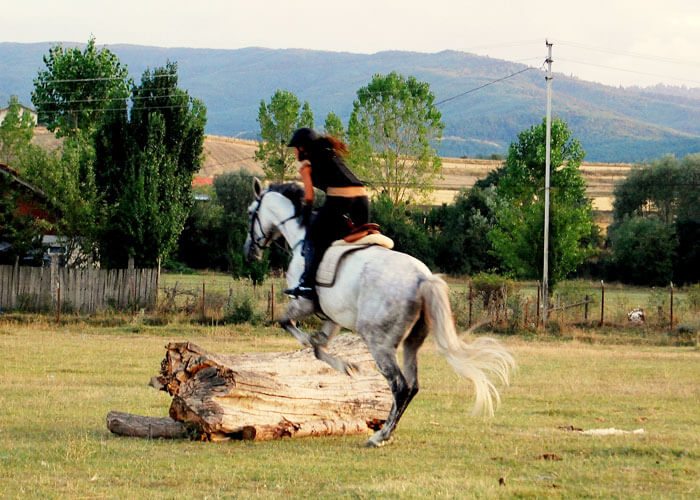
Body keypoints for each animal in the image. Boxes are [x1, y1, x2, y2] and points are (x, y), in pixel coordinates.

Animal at [242, 179, 516, 446]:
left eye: (250, 213)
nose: (249, 252)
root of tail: (423, 278)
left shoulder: (303, 303)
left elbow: (289, 326)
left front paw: (347, 365)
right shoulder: (332, 317)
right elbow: (318, 348)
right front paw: (346, 365)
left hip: (378, 341)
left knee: (400, 386)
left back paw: (379, 436)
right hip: (412, 341)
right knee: (413, 385)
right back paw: (387, 432)